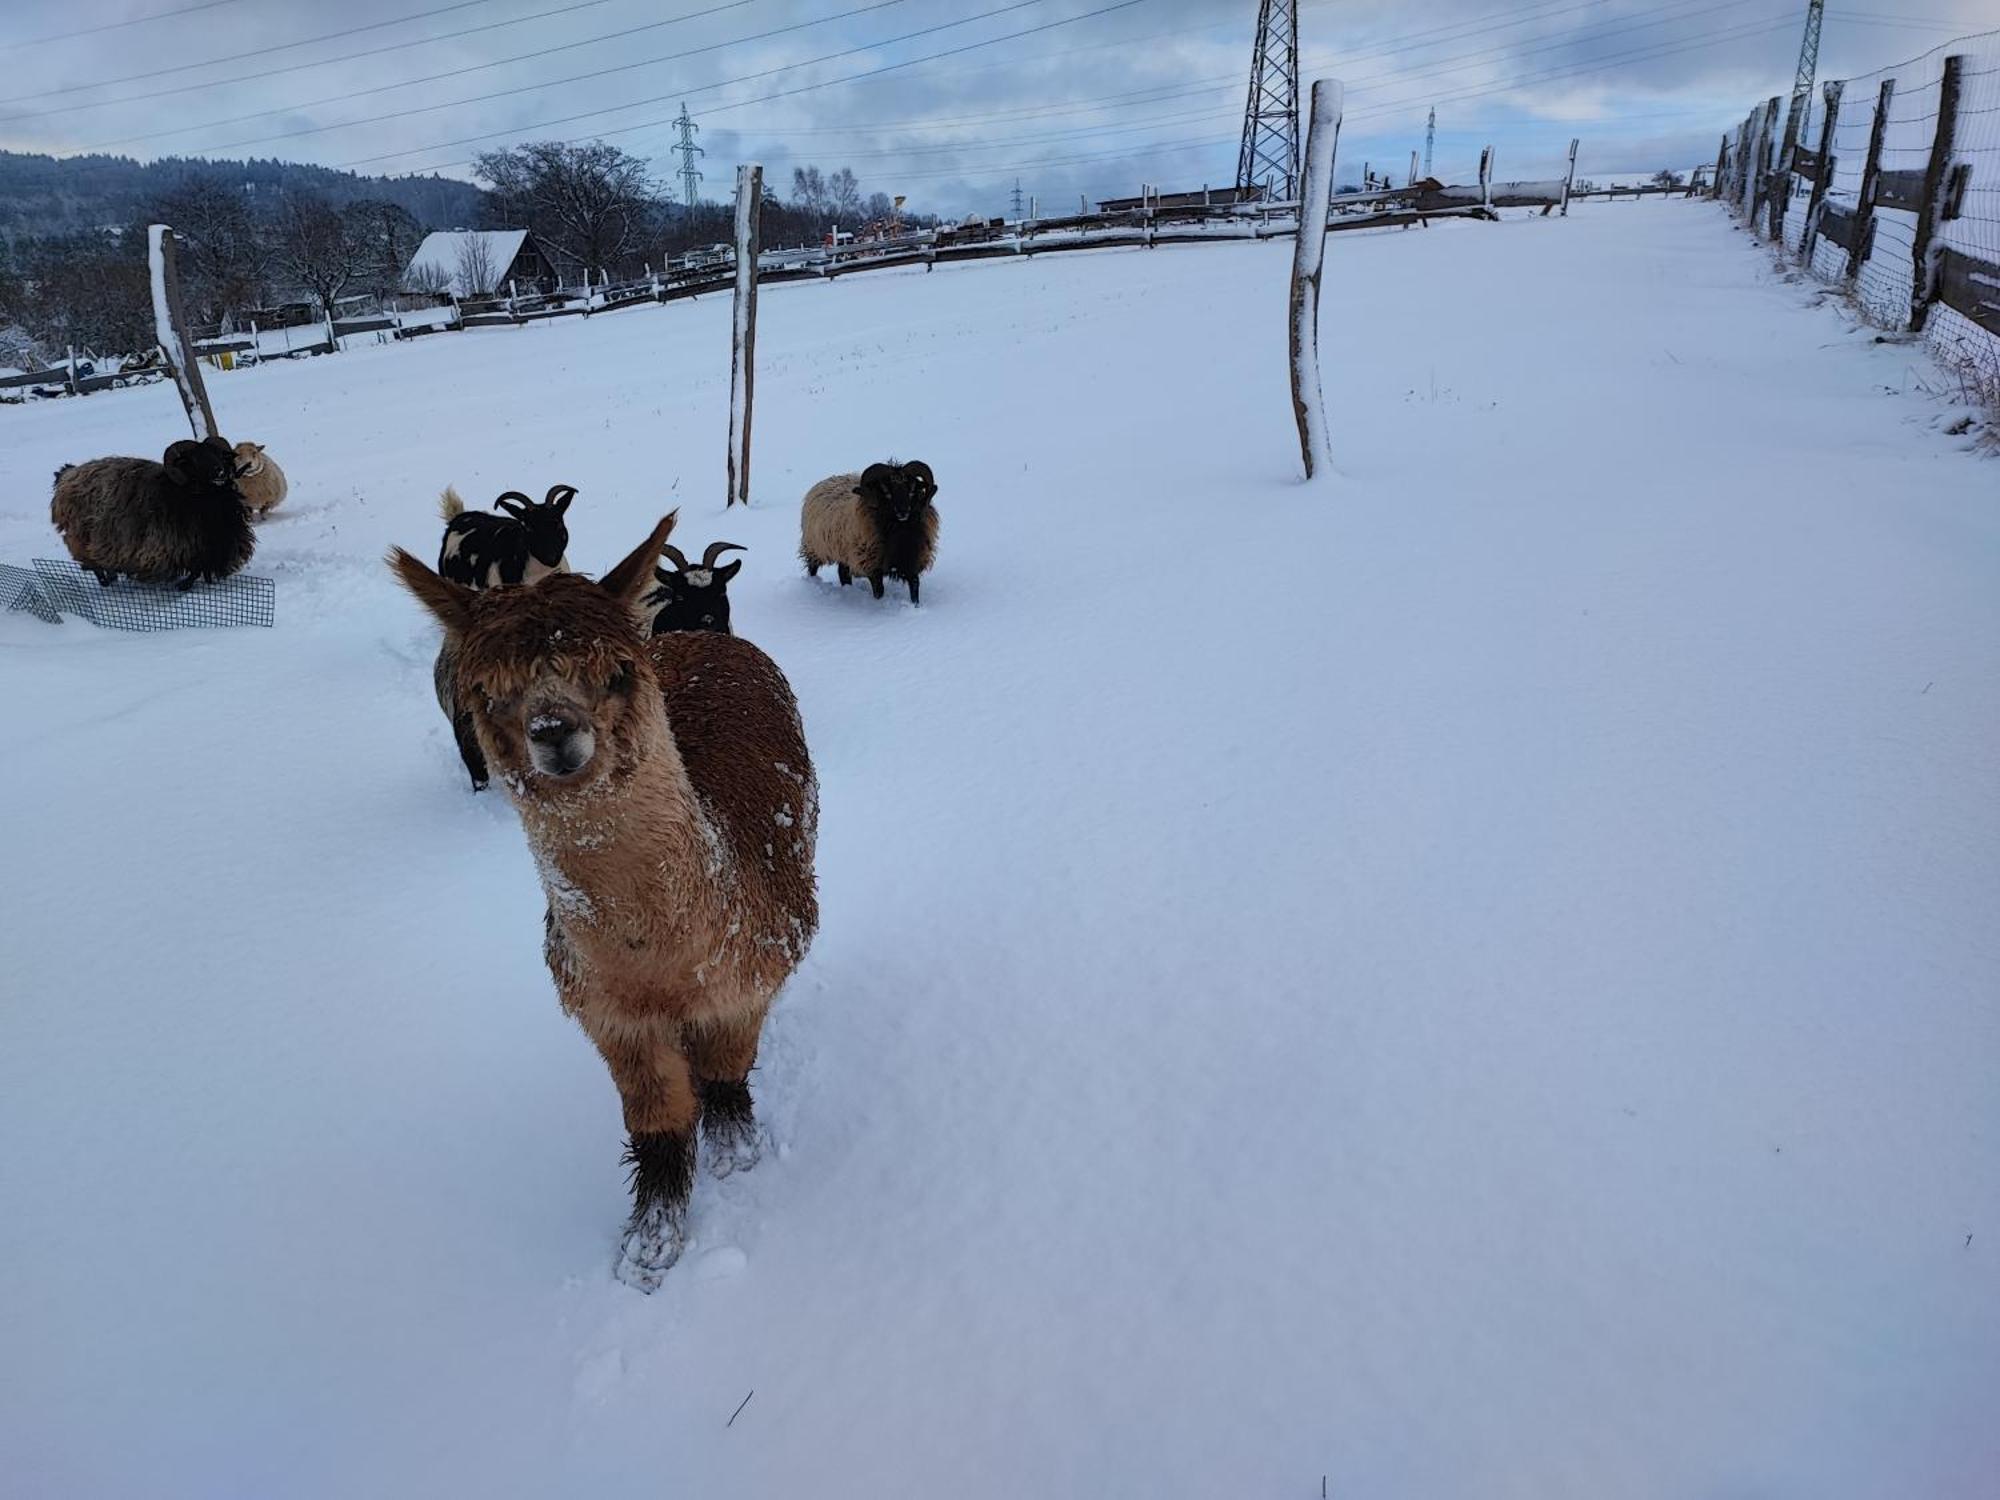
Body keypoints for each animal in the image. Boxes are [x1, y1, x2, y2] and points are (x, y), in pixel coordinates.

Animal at [47, 434, 254, 592]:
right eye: (194, 460)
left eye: (220, 455)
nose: (220, 473)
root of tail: (67, 475)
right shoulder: (167, 549)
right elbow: (193, 571)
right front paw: (182, 586)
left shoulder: (210, 547)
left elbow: (199, 569)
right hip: (80, 534)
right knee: (91, 562)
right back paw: (105, 578)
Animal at [390, 516, 820, 1296]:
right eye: (485, 691)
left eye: (616, 671)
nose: (555, 732)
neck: (667, 970)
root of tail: (702, 638)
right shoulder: (608, 1016)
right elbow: (656, 1124)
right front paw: (650, 1248)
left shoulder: (749, 978)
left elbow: (726, 1074)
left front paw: (736, 1156)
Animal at [796, 458, 936, 604]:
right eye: (886, 491)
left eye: (912, 489)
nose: (903, 512)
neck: (899, 531)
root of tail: (829, 479)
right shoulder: (871, 566)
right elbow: (879, 591)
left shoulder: (912, 561)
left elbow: (915, 587)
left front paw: (916, 606)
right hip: (815, 546)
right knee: (813, 567)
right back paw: (813, 582)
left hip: (845, 552)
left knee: (843, 572)